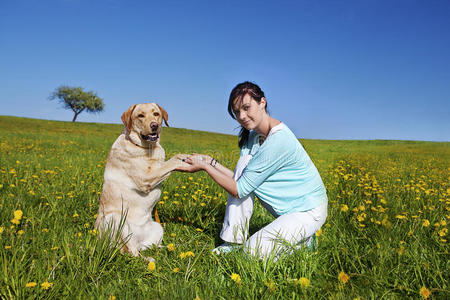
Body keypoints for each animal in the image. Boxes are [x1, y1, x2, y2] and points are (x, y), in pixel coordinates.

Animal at [96, 102, 189, 258]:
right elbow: (172, 160)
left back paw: (175, 247)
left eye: (156, 114)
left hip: (157, 228)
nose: (154, 125)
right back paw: (150, 260)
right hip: (115, 219)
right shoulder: (145, 178)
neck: (148, 148)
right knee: (131, 253)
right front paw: (187, 159)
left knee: (147, 247)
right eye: (140, 115)